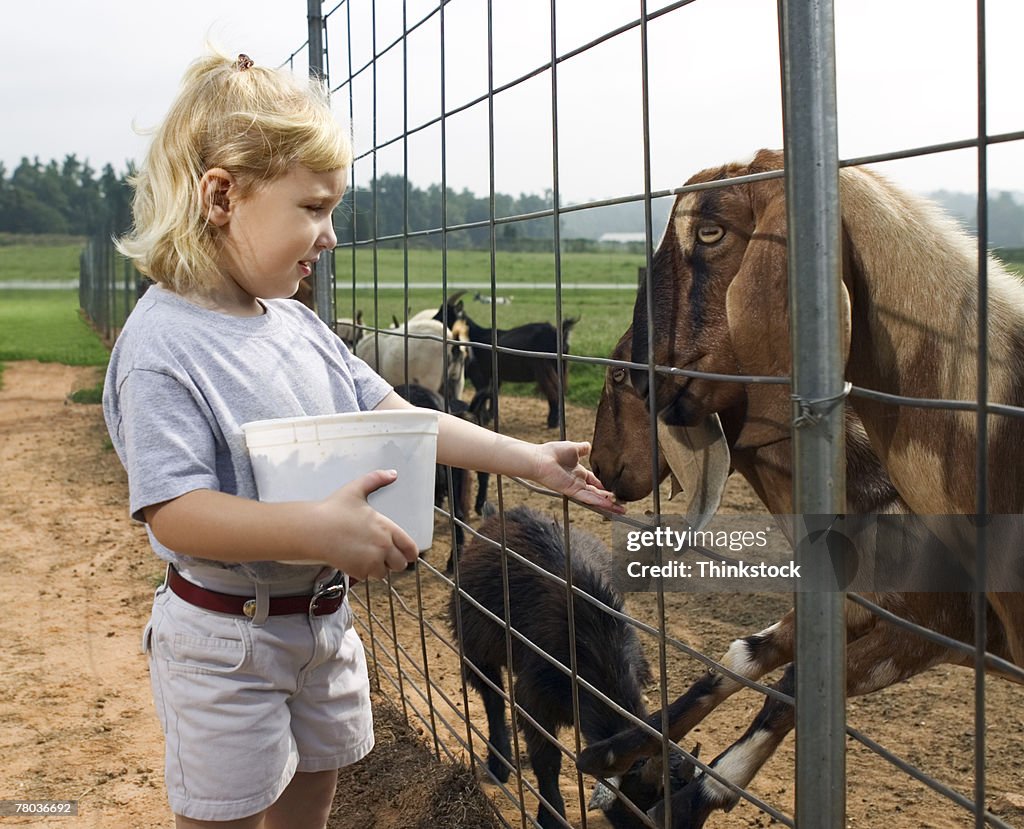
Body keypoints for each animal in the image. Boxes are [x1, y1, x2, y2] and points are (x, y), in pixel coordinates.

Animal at [432, 290, 577, 429]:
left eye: (445, 313)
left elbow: (483, 392)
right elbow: (493, 393)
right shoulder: (494, 375)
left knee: (553, 391)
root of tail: (559, 334)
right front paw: (491, 416)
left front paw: (484, 418)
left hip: (543, 367)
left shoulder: (478, 374)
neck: (474, 336)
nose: (433, 320)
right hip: (561, 367)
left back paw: (553, 422)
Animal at [452, 503, 692, 826]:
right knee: (492, 697)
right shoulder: (536, 697)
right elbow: (547, 761)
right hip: (474, 641)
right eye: (643, 802)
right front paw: (550, 816)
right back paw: (499, 759)